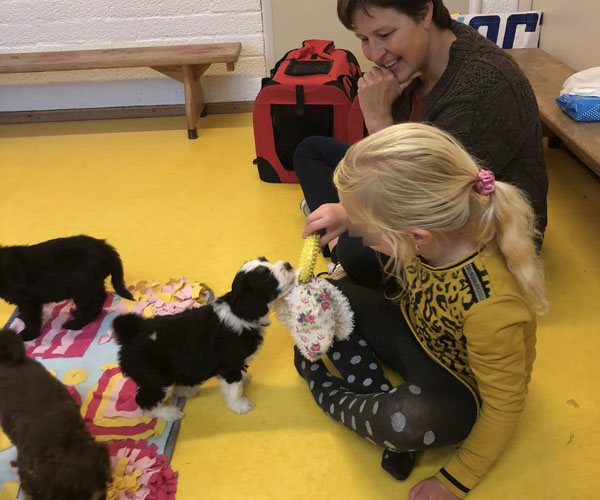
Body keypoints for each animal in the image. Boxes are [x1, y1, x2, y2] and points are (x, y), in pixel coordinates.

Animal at [0, 235, 134, 341]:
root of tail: (104, 247)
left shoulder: (27, 301)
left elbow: (30, 318)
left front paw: (27, 334)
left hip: (83, 287)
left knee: (92, 304)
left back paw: (75, 324)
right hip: (91, 285)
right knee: (100, 298)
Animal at [112, 257, 295, 421]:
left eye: (266, 260)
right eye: (266, 276)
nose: (288, 264)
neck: (240, 313)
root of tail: (130, 334)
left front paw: (244, 379)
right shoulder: (229, 367)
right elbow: (234, 389)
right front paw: (240, 405)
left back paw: (186, 391)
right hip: (157, 379)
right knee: (144, 400)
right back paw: (170, 413)